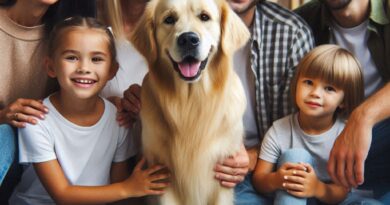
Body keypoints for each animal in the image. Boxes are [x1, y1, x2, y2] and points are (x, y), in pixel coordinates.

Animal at [132, 0, 250, 203]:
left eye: (204, 17)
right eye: (169, 19)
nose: (188, 39)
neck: (192, 101)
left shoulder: (222, 174)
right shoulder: (163, 175)